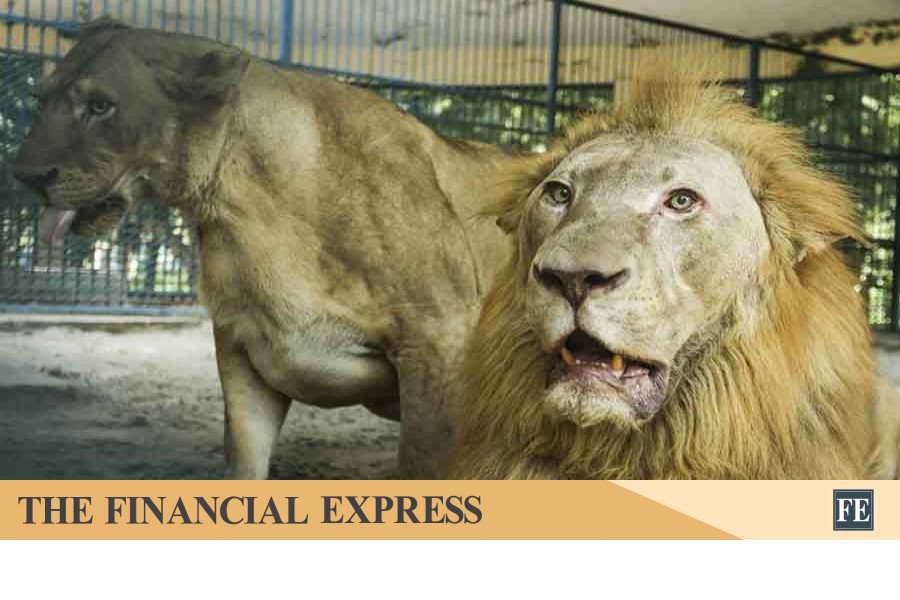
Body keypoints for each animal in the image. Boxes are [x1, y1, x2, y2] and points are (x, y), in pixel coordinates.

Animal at [14, 20, 510, 479]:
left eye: (101, 106)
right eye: (40, 100)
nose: (26, 176)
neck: (247, 208)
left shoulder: (437, 341)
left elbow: (422, 465)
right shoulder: (242, 348)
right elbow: (244, 462)